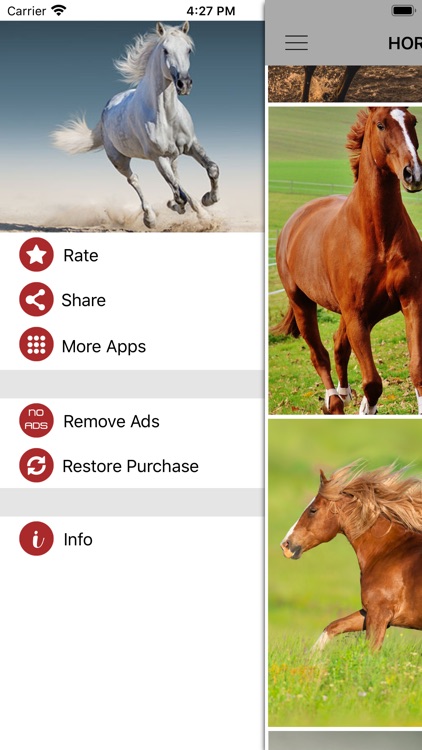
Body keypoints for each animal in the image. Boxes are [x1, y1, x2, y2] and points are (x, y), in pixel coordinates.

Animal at [51, 22, 219, 228]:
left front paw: (208, 200)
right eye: (165, 50)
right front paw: (179, 206)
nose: (184, 84)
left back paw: (199, 212)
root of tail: (107, 107)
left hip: (173, 156)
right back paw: (150, 218)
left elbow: (211, 169)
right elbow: (178, 192)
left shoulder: (191, 145)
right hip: (119, 160)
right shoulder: (158, 157)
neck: (167, 116)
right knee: (135, 180)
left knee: (176, 179)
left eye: (188, 50)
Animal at [273, 107, 422, 415]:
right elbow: (373, 383)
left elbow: (416, 370)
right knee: (320, 355)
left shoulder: (411, 301)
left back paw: (345, 394)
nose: (413, 173)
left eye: (413, 122)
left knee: (339, 346)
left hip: (362, 313)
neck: (378, 235)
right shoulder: (356, 314)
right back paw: (334, 401)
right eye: (380, 125)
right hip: (303, 304)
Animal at [280, 463, 422, 650]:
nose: (285, 545)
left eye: (313, 510)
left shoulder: (379, 614)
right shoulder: (369, 613)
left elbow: (370, 651)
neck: (390, 551)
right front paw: (311, 656)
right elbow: (333, 626)